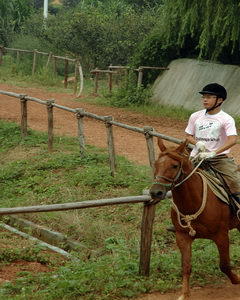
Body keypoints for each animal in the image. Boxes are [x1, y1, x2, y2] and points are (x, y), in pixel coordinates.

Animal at [150, 138, 240, 300]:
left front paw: (237, 279)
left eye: (174, 165)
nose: (155, 192)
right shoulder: (182, 237)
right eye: (156, 164)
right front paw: (184, 294)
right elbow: (186, 266)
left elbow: (224, 265)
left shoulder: (221, 236)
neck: (192, 202)